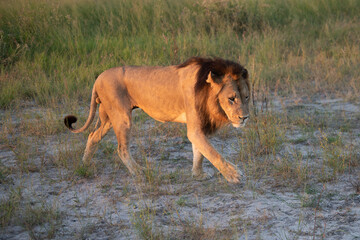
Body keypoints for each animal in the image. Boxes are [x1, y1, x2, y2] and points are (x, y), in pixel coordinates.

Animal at [64, 57, 250, 183]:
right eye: (231, 98)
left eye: (246, 97)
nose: (245, 118)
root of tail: (98, 78)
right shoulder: (195, 129)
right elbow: (212, 152)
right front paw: (233, 174)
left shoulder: (200, 126)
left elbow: (200, 152)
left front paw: (198, 174)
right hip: (122, 118)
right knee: (121, 149)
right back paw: (139, 172)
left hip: (108, 118)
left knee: (92, 136)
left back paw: (85, 165)